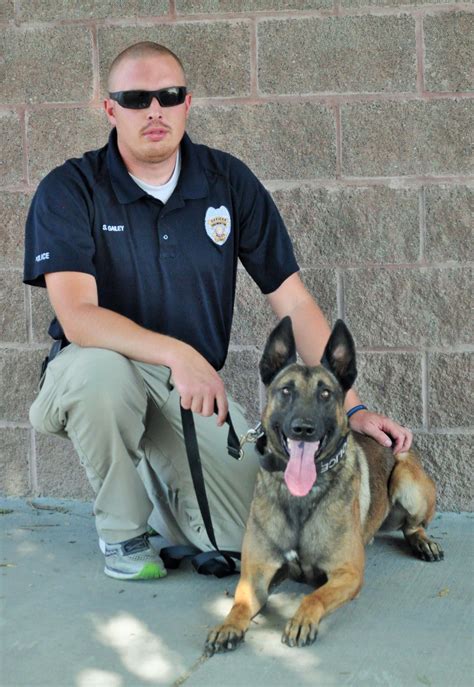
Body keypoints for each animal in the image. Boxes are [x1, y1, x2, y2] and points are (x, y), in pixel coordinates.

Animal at [205, 318, 444, 656]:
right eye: (286, 391)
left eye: (326, 394)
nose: (303, 429)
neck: (300, 498)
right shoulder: (256, 575)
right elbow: (239, 605)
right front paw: (227, 626)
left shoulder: (348, 574)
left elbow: (313, 596)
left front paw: (302, 620)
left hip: (408, 481)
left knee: (414, 525)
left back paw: (423, 542)